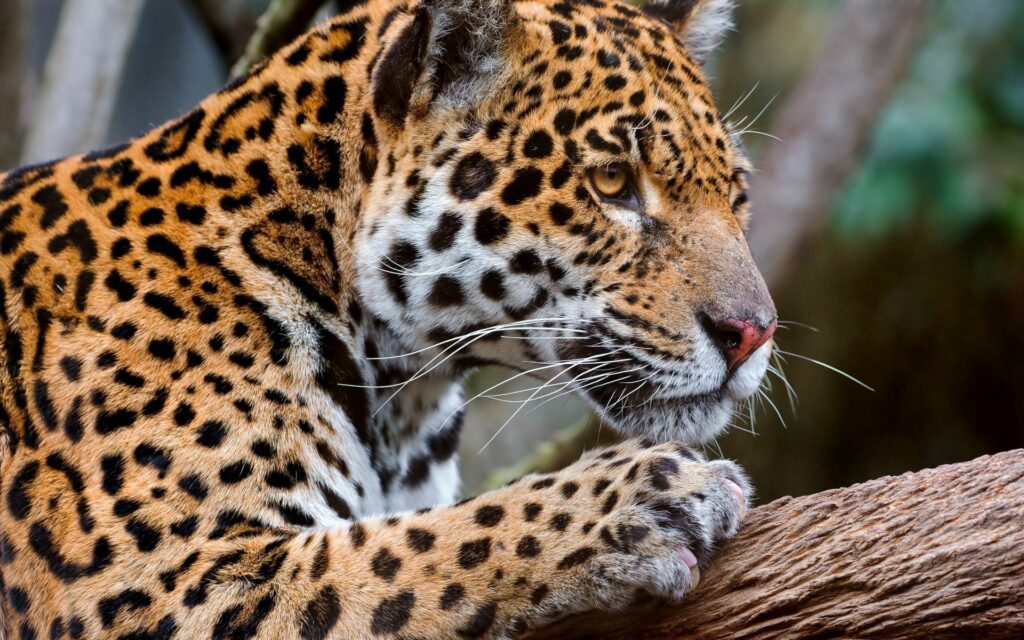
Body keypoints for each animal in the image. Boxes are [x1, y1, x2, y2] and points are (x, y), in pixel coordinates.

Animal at [0, 0, 777, 637]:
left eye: (737, 193)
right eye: (613, 181)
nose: (753, 334)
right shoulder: (154, 585)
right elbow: (420, 548)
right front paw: (641, 499)